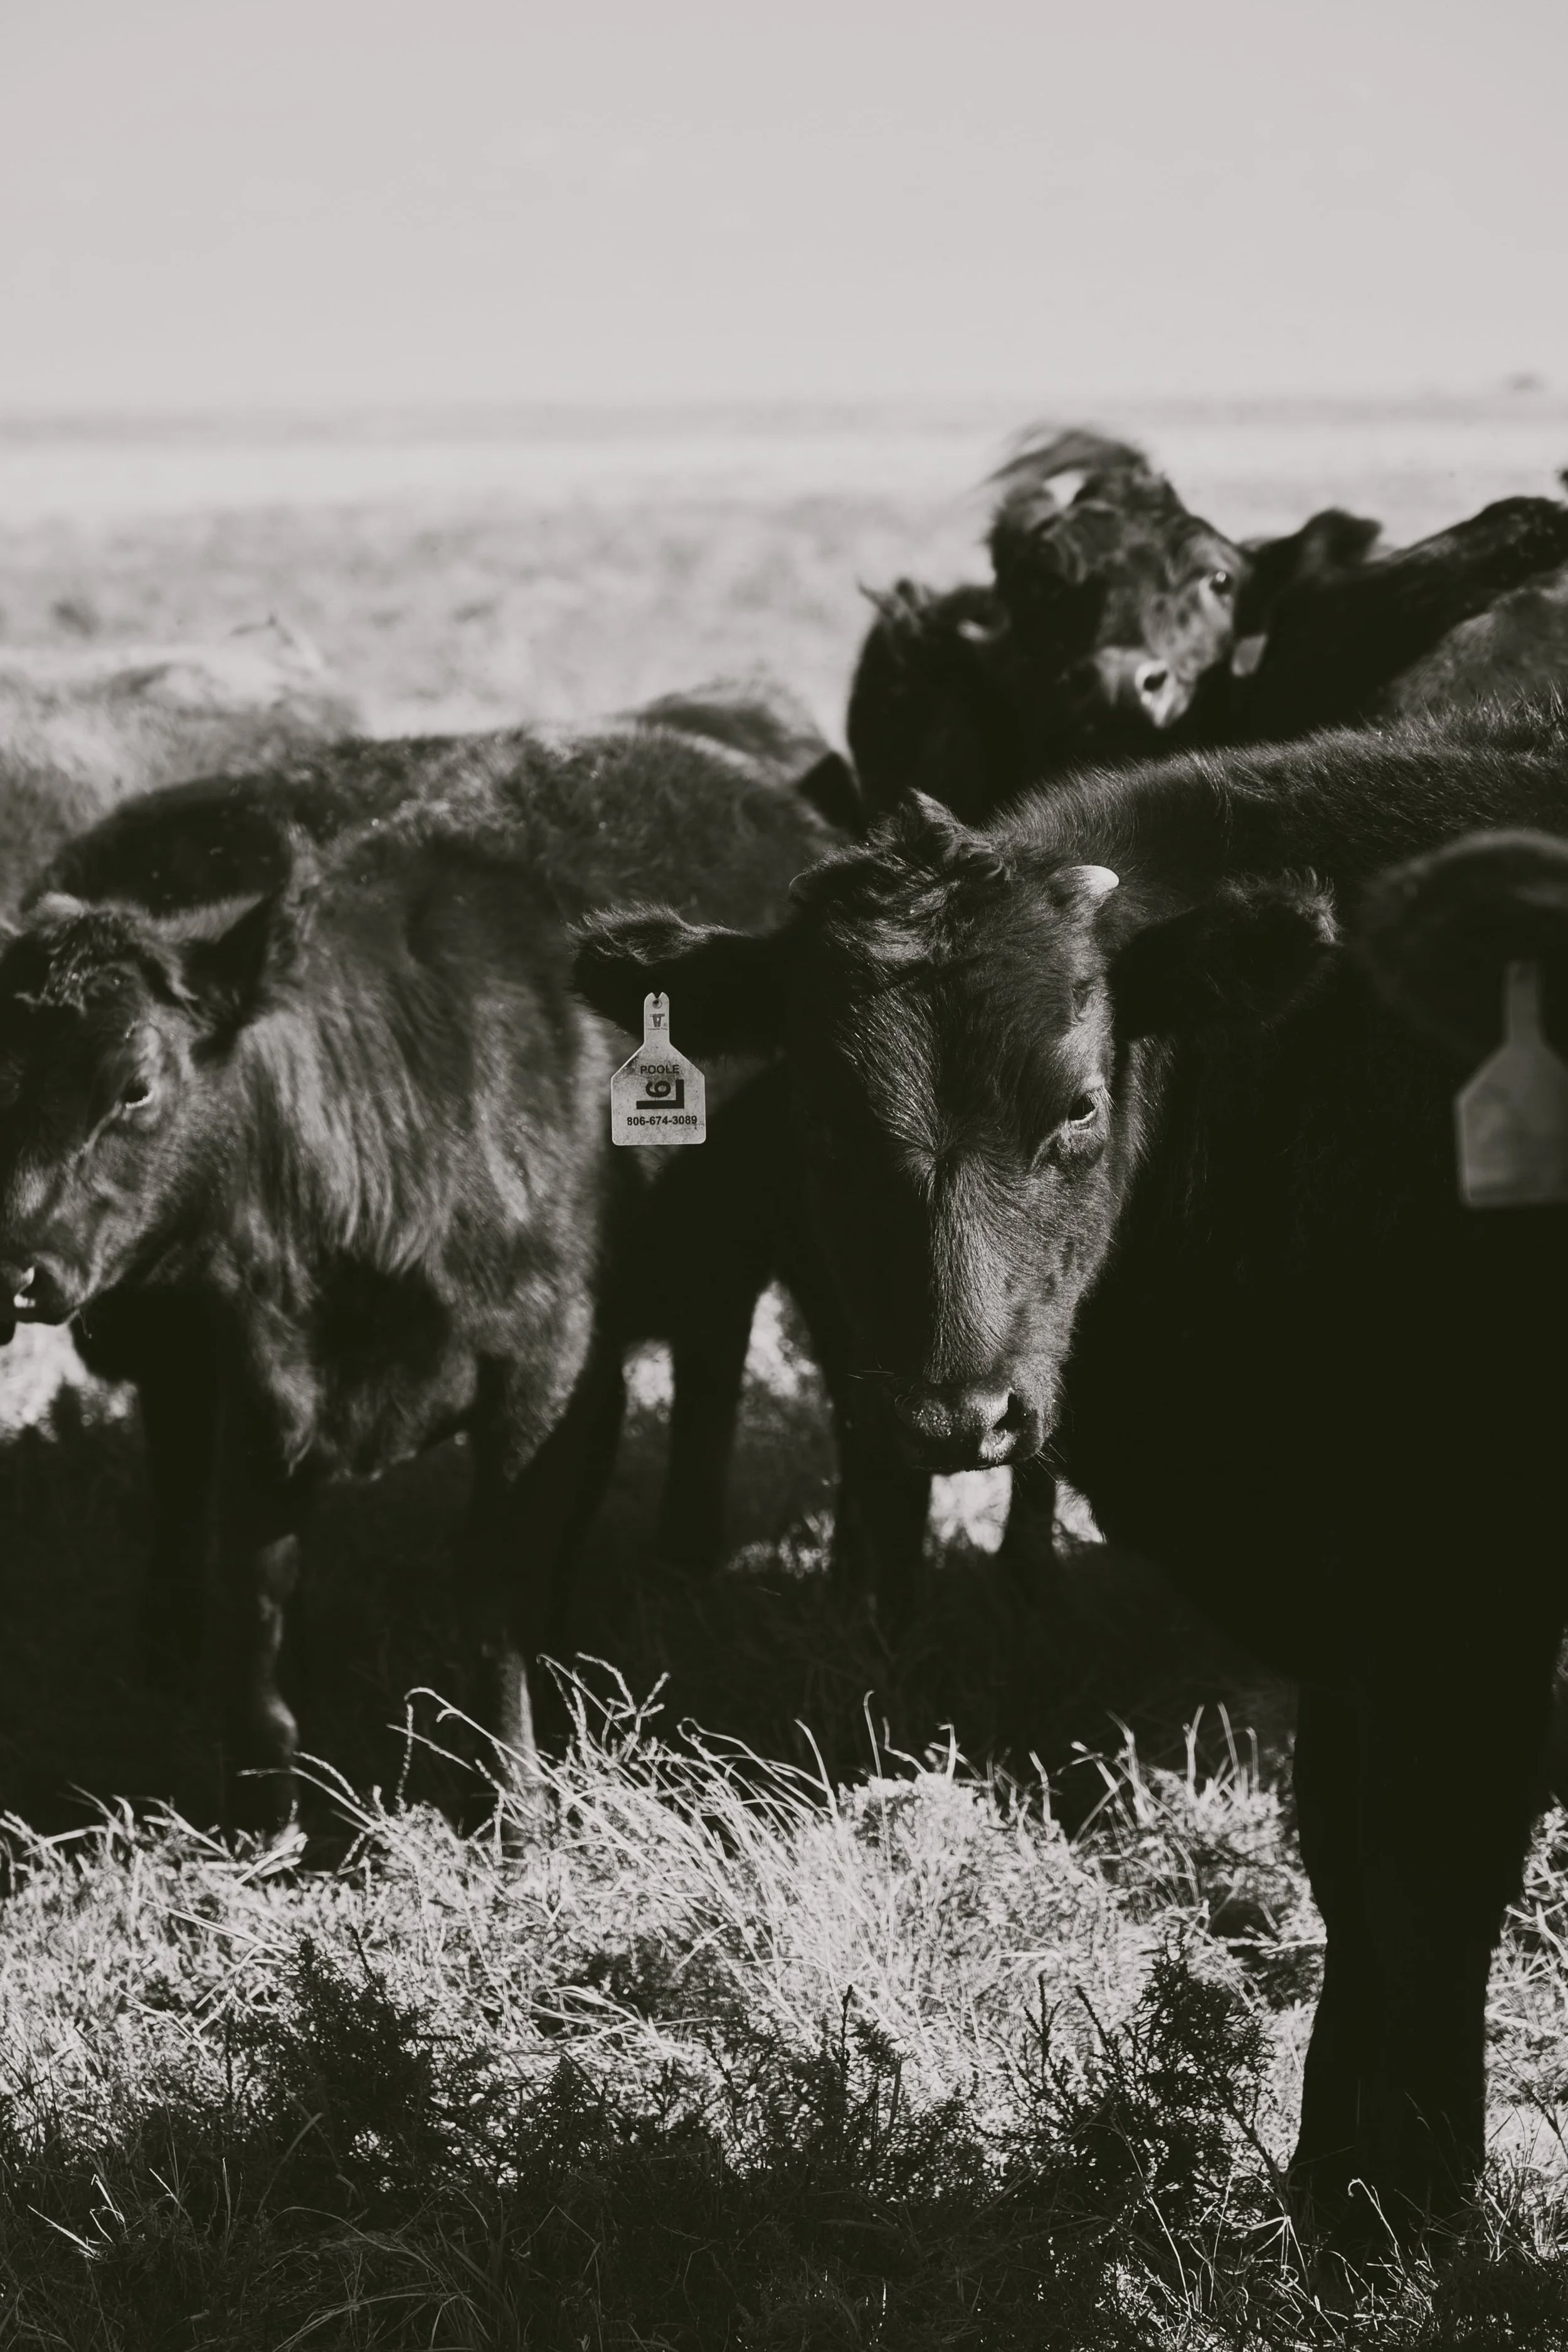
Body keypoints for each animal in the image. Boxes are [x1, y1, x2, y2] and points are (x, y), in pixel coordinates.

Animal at [0, 692, 839, 1831]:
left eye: (135, 1084)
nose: (15, 1264)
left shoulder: (537, 1364)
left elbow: (491, 1588)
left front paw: (515, 1801)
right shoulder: (259, 1376)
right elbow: (254, 1588)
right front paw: (260, 1806)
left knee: (708, 1386)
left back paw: (679, 1566)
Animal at [572, 698, 1568, 2231]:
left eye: (1080, 1108)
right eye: (816, 1115)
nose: (952, 1419)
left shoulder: (1466, 1582)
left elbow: (1430, 1874)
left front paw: (1400, 2211)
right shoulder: (1353, 1607)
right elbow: (1347, 1860)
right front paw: (1327, 2182)